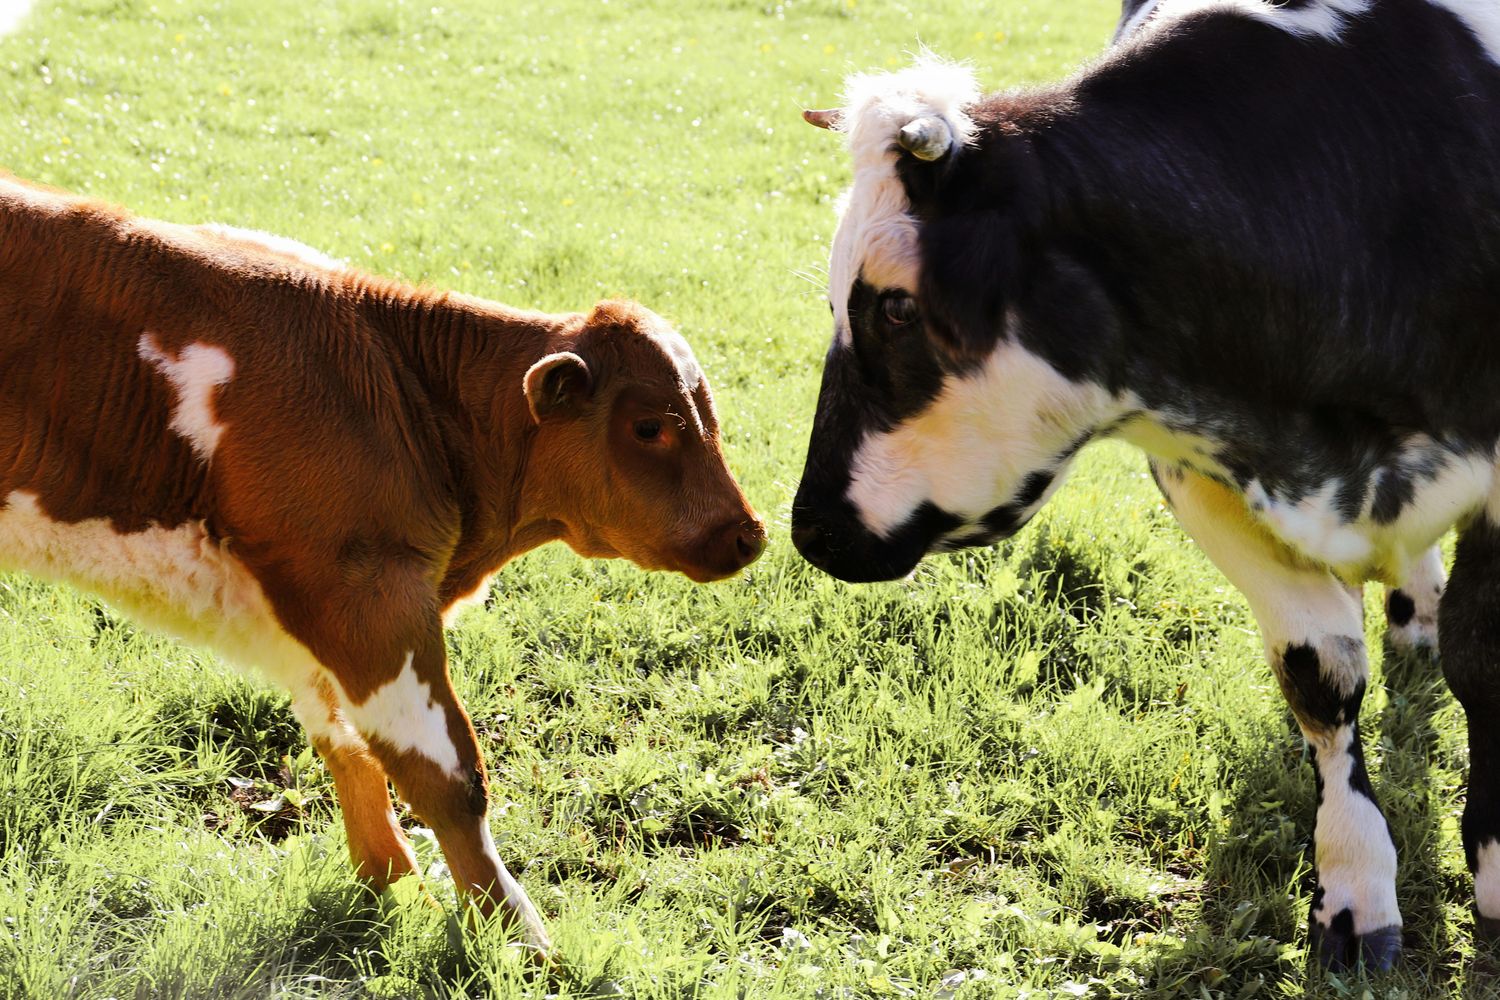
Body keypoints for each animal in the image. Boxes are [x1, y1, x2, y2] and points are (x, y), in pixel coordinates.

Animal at [0, 171, 767, 956]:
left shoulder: (320, 606)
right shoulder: (366, 592)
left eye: (709, 417)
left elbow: (349, 743)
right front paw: (520, 939)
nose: (748, 534)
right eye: (649, 428)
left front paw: (391, 884)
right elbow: (446, 775)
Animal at [791, 0, 1500, 972]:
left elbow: (1485, 655)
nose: (810, 527)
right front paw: (1356, 883)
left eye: (896, 306)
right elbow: (1319, 672)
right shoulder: (1201, 475)